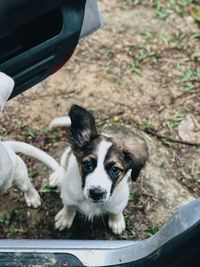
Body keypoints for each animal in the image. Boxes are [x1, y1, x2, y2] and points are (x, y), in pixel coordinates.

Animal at [49, 105, 148, 236]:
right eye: (88, 164)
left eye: (115, 170)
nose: (96, 193)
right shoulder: (68, 195)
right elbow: (69, 207)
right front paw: (65, 217)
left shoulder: (119, 199)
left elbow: (116, 211)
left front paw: (116, 221)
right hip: (67, 154)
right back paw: (57, 176)